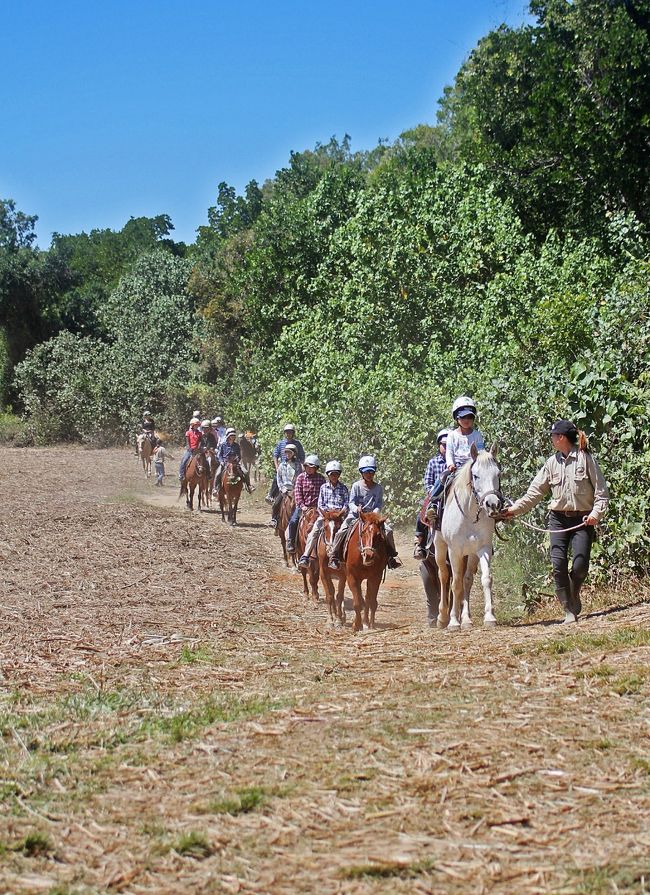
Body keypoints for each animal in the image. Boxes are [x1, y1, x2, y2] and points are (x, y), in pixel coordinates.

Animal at [432, 442, 504, 632]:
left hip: (470, 554)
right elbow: (455, 583)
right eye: (476, 475)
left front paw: (489, 617)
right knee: (444, 576)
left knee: (467, 580)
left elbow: (485, 579)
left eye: (498, 474)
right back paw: (442, 617)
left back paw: (466, 619)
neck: (469, 514)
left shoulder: (483, 548)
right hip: (440, 548)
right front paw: (453, 622)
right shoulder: (454, 551)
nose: (492, 504)